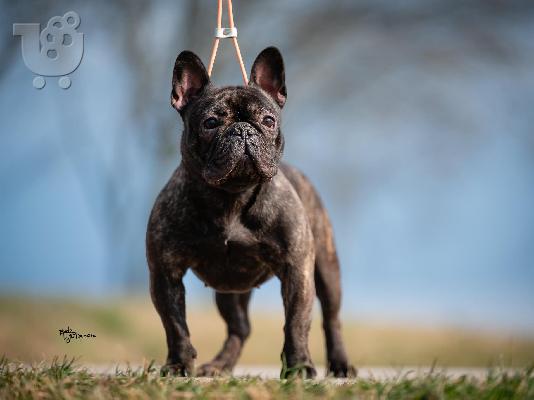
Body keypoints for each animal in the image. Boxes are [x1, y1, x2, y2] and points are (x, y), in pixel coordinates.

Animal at [147, 47, 356, 378]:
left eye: (268, 120)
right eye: (210, 123)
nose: (243, 129)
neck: (232, 196)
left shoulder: (297, 270)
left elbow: (296, 323)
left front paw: (299, 367)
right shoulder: (165, 274)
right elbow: (175, 325)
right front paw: (179, 364)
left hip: (326, 269)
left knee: (331, 318)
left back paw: (340, 365)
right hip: (229, 291)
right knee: (239, 328)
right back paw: (220, 365)